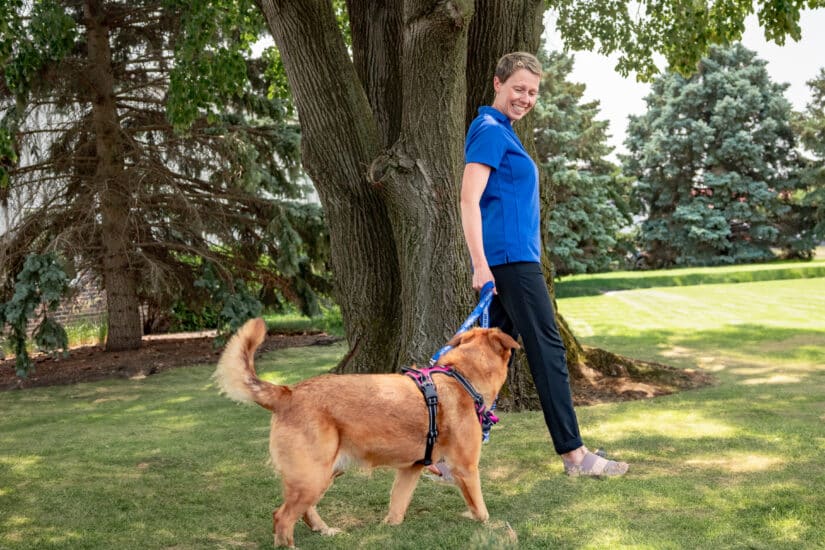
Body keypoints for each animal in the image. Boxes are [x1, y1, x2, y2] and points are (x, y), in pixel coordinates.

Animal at [211, 316, 516, 548]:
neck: (462, 376)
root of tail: (288, 392)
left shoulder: (410, 470)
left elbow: (397, 509)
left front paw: (389, 528)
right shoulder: (466, 469)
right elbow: (482, 511)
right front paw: (492, 525)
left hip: (322, 474)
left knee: (304, 511)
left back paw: (325, 530)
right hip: (312, 477)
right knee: (282, 517)